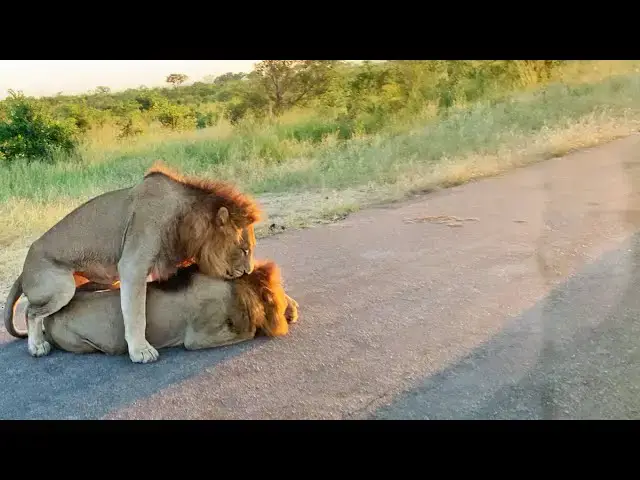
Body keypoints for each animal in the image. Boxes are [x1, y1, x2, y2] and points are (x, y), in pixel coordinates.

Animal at [3, 162, 262, 364]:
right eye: (244, 249)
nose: (249, 270)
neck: (185, 220)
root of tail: (24, 268)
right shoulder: (132, 265)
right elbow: (136, 312)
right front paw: (141, 351)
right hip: (62, 286)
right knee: (31, 311)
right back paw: (37, 346)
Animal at [12, 260, 299, 356]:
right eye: (281, 295)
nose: (295, 309)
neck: (236, 290)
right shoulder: (197, 338)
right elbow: (247, 333)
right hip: (81, 342)